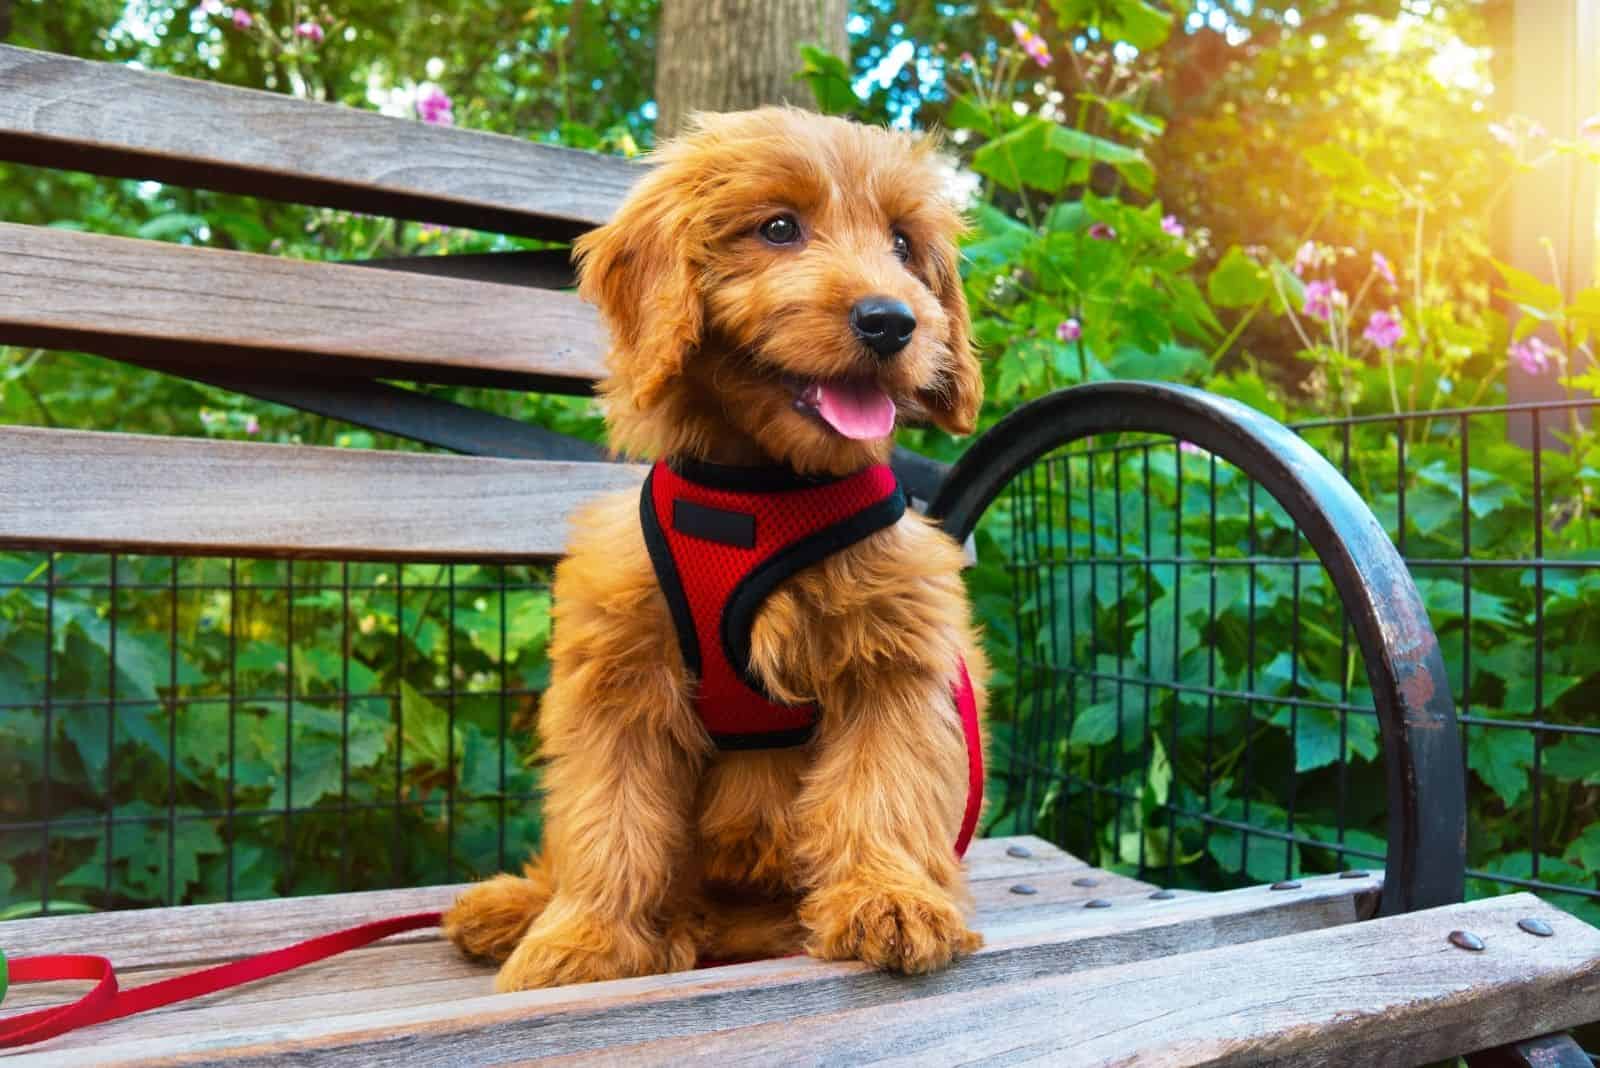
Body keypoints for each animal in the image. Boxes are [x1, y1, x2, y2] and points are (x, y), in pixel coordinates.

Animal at [441, 108, 985, 991]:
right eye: (778, 228)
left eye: (903, 245)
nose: (891, 321)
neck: (762, 490)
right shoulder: (620, 677)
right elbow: (610, 820)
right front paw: (586, 940)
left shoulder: (892, 664)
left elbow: (881, 788)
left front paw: (890, 900)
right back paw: (517, 907)